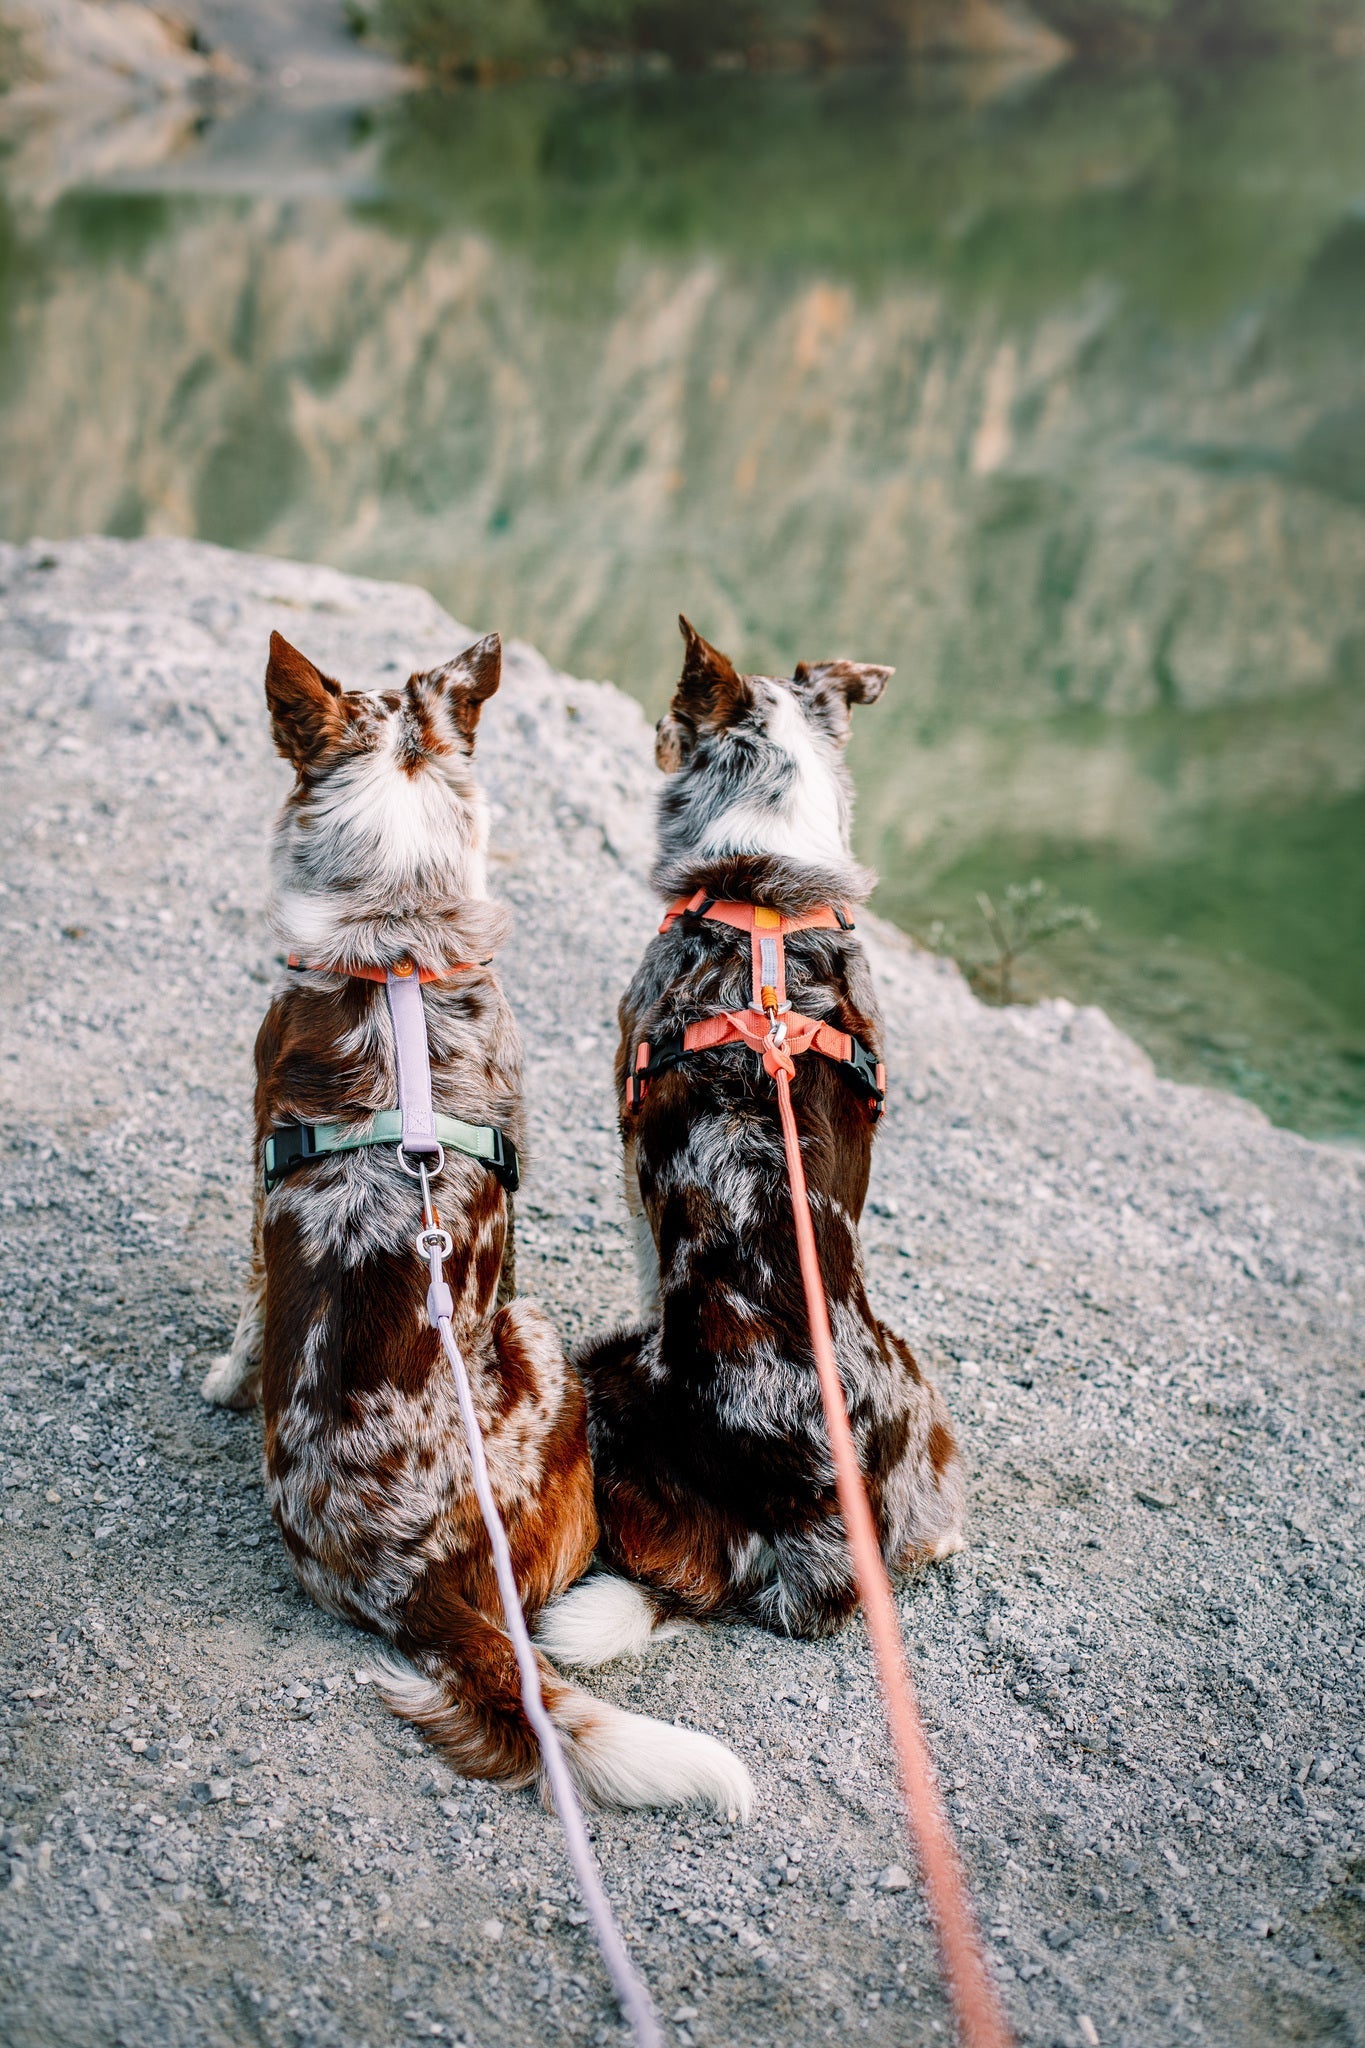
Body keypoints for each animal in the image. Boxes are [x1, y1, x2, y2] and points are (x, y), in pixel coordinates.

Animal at [540, 618, 965, 1662]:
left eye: (668, 714)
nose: (649, 731)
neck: (766, 900)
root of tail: (815, 1521)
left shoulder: (628, 1152)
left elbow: (642, 1247)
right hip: (921, 1392)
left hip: (598, 1377)